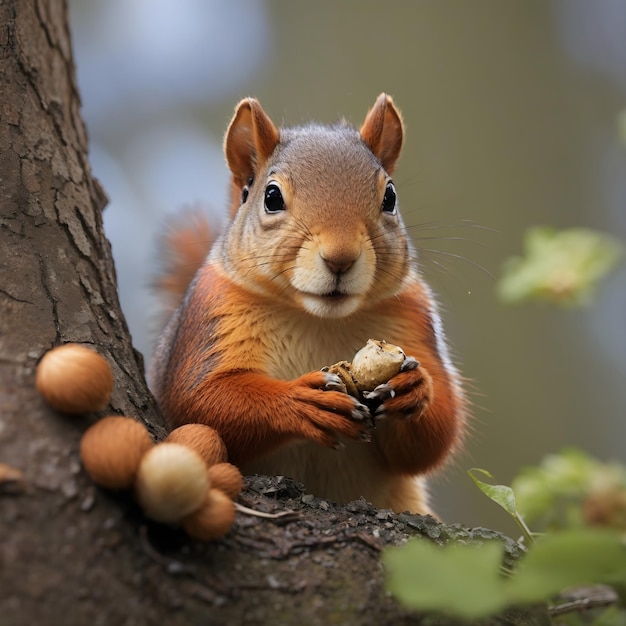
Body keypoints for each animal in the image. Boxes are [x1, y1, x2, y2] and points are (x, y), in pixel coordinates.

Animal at [150, 94, 464, 512]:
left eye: (390, 197)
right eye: (271, 197)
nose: (340, 258)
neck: (319, 317)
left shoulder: (415, 317)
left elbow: (433, 441)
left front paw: (416, 387)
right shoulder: (209, 318)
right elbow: (199, 401)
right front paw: (303, 401)